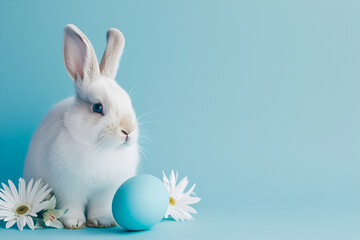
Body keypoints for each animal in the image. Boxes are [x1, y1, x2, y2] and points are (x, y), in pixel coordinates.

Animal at [23, 24, 139, 229]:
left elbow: (101, 206)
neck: (101, 149)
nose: (128, 130)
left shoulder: (106, 191)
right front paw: (75, 222)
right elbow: (72, 205)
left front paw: (102, 221)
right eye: (97, 107)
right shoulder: (68, 188)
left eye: (128, 101)